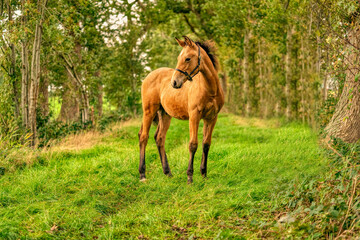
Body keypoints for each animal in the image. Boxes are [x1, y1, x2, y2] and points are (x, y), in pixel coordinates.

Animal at [139, 35, 224, 183]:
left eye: (187, 58)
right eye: (179, 58)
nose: (174, 82)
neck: (210, 90)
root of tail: (148, 77)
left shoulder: (211, 118)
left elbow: (206, 144)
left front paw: (204, 174)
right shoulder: (194, 116)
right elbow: (193, 144)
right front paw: (190, 176)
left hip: (164, 114)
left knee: (159, 138)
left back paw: (167, 172)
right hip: (149, 111)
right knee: (144, 136)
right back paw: (143, 174)